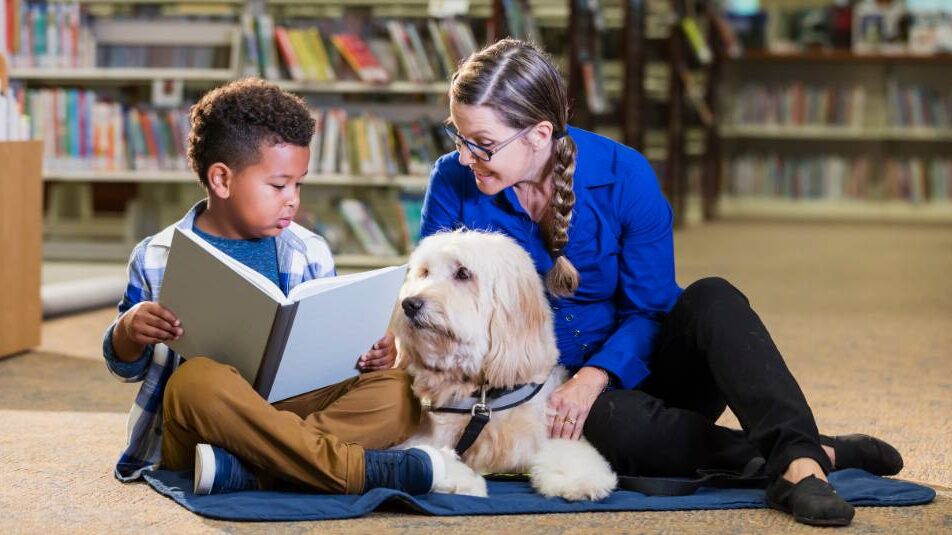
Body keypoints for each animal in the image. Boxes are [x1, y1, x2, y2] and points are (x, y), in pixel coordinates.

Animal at [392, 230, 616, 502]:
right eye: (424, 272)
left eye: (463, 273)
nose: (409, 304)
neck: (483, 394)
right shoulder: (420, 435)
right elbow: (422, 454)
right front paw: (462, 480)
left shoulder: (547, 431)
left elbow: (569, 453)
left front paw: (581, 480)